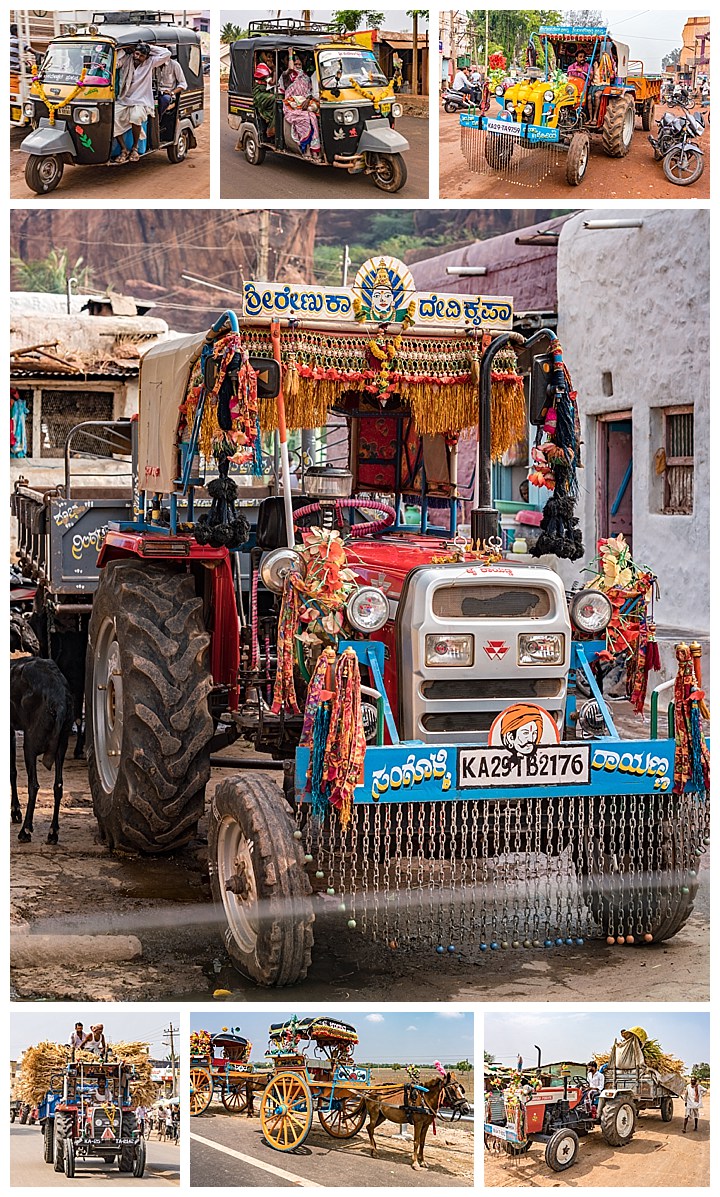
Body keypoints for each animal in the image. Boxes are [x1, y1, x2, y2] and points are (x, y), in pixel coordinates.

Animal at [10, 655, 73, 842]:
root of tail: (59, 701)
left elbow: (12, 772)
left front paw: (16, 811)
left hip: (30, 744)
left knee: (34, 785)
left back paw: (25, 831)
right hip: (61, 745)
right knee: (58, 785)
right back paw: (53, 832)